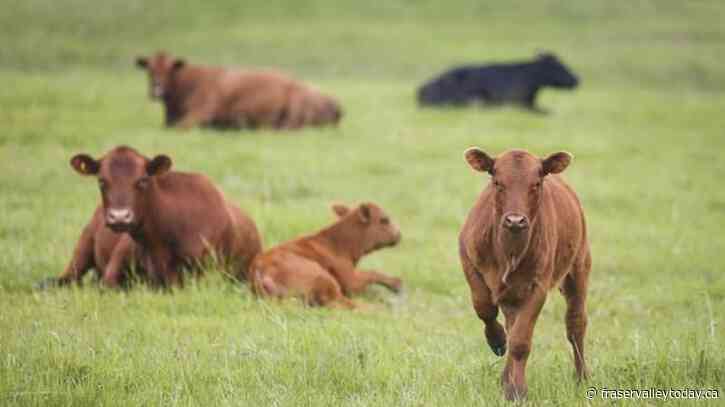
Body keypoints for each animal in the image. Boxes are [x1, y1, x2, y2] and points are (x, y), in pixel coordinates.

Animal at [250, 202, 402, 308]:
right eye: (384, 220)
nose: (399, 234)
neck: (337, 244)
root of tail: (260, 268)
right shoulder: (351, 280)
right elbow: (372, 273)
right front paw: (396, 284)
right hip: (324, 278)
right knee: (346, 304)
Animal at [458, 148, 591, 401]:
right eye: (497, 182)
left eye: (536, 184)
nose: (515, 220)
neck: (509, 251)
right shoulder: (468, 259)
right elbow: (484, 308)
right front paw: (497, 341)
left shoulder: (538, 286)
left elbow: (521, 341)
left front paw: (517, 391)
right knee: (511, 322)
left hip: (579, 265)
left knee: (575, 324)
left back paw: (582, 379)